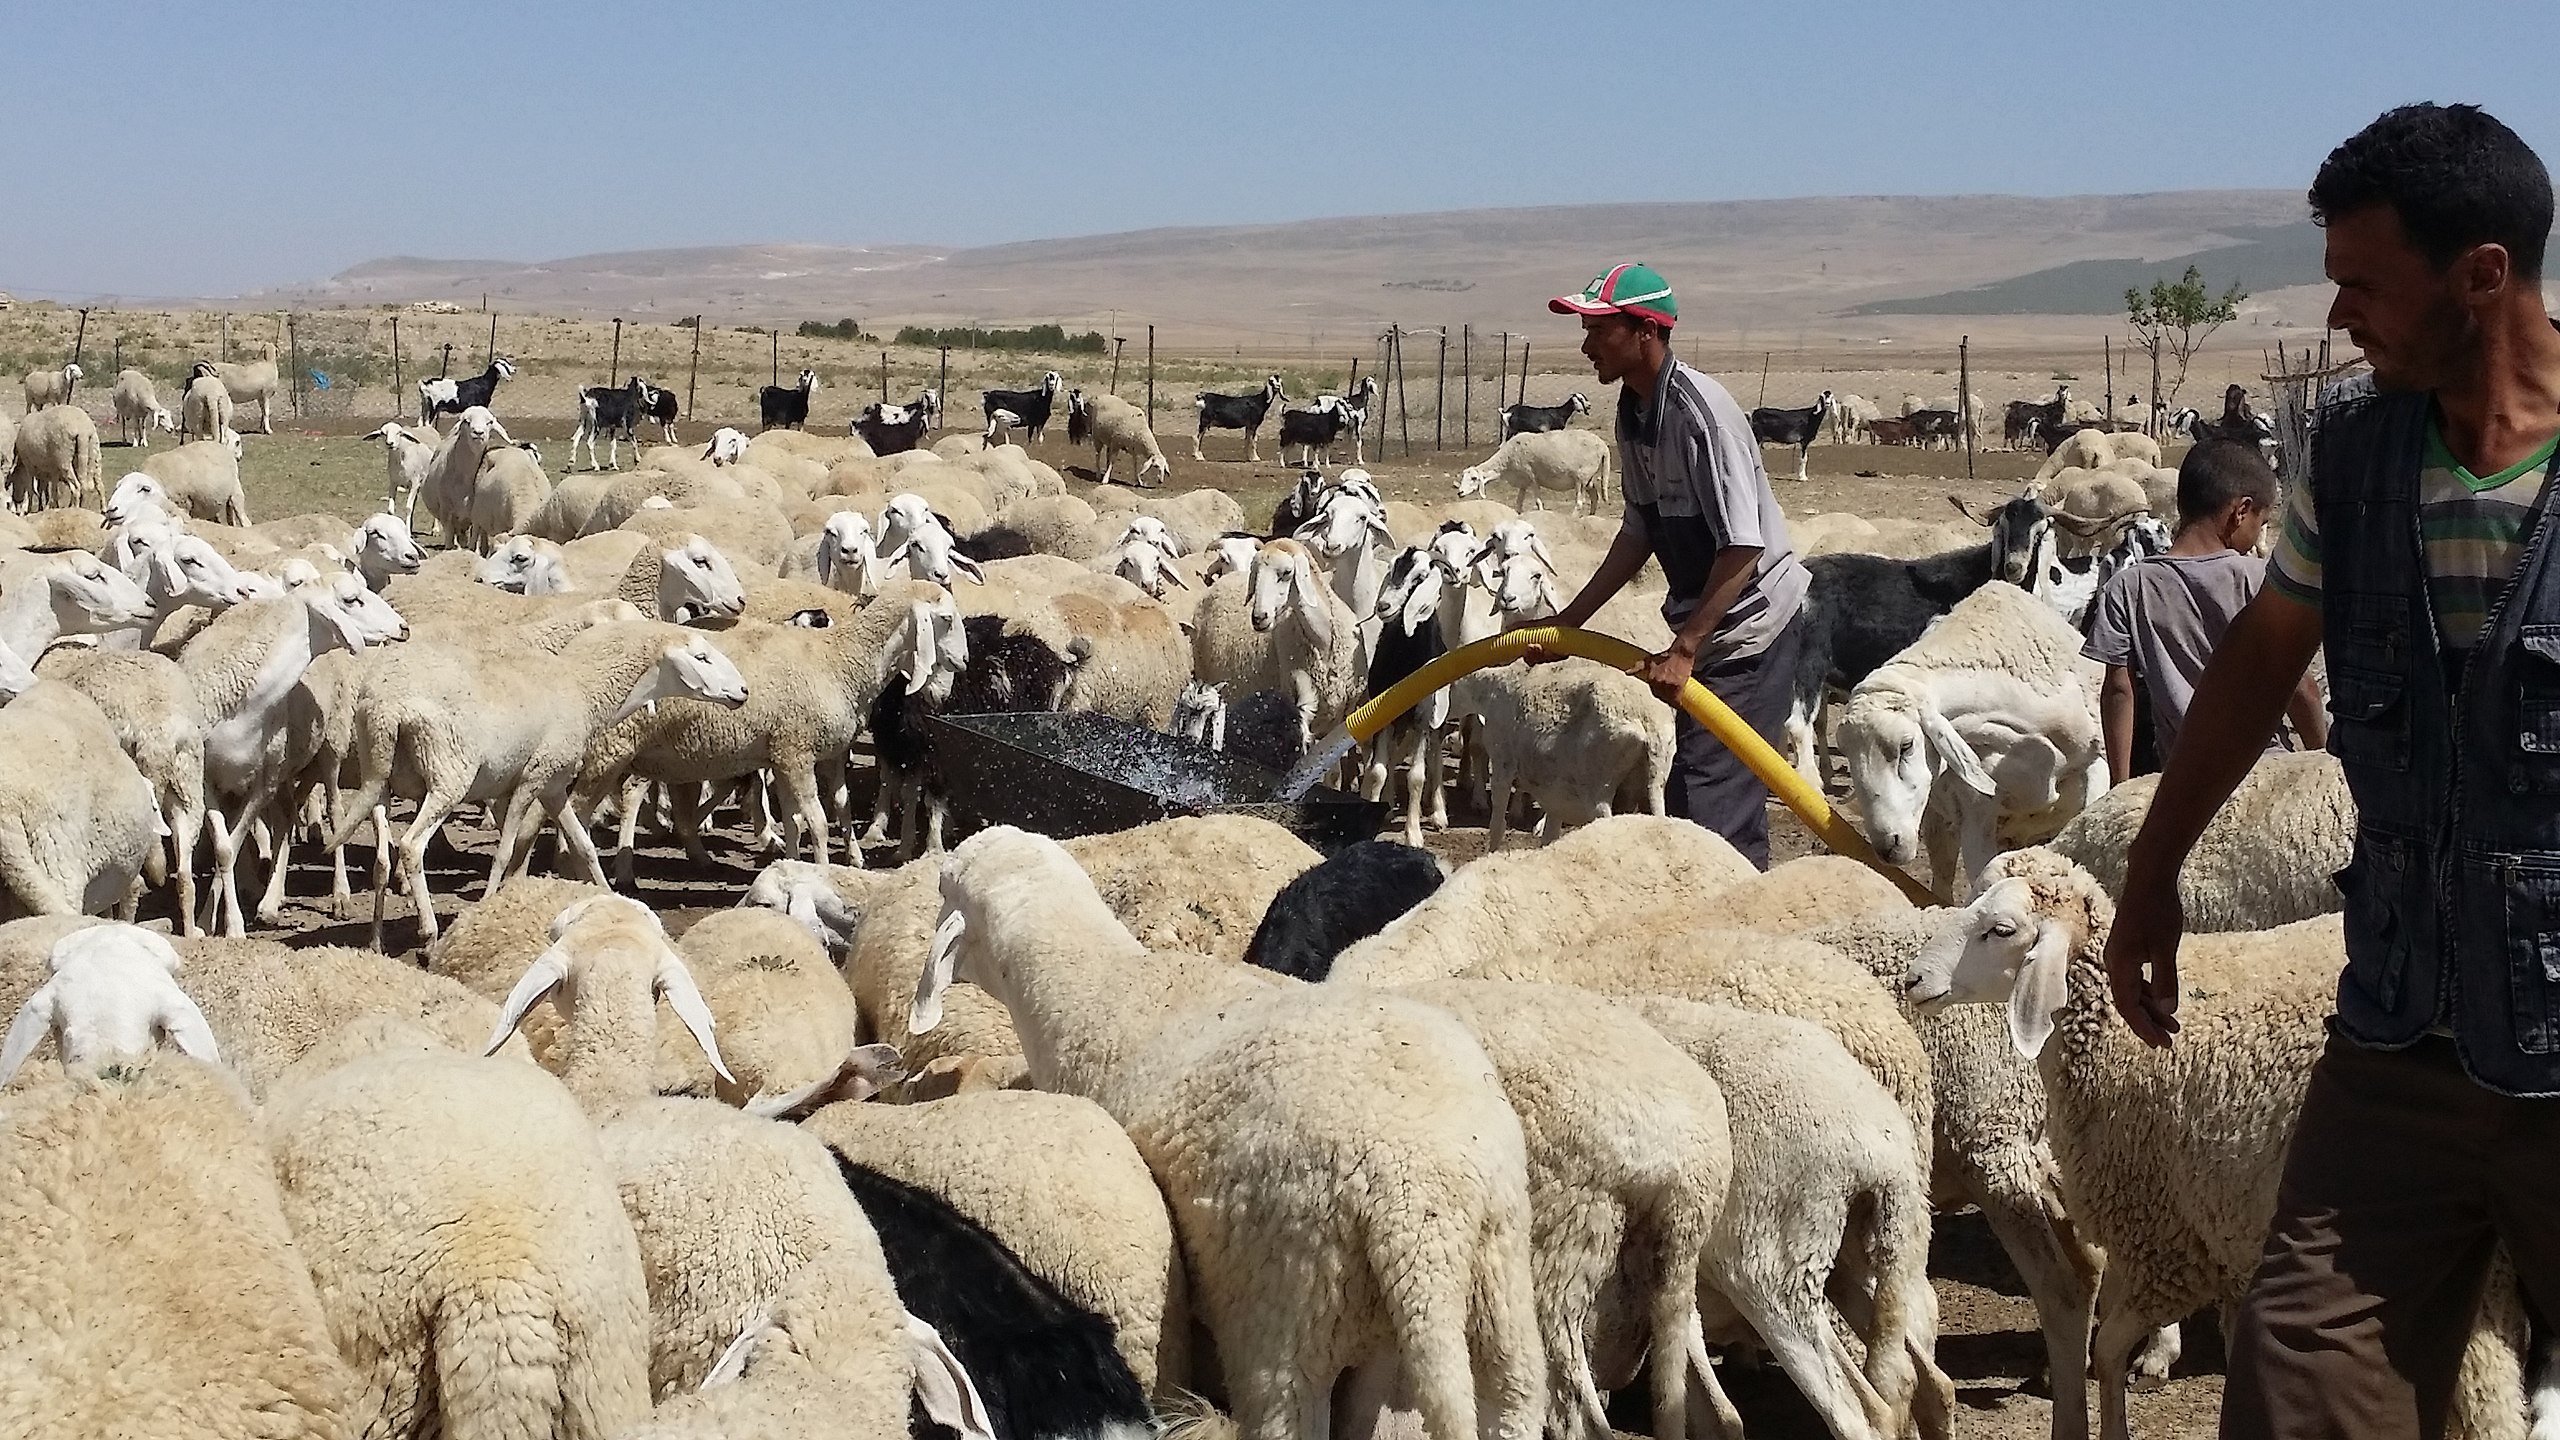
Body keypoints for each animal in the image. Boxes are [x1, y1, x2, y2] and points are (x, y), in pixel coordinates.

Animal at [917, 826, 1546, 1440]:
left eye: (945, 888)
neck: (1103, 988)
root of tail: (1419, 1207)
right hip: (1490, 1289)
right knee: (1507, 1402)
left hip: (1286, 1312)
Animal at [1457, 428, 1614, 515]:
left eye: (1474, 479)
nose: (1460, 493)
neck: (1507, 460)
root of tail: (1603, 446)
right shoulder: (1523, 482)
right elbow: (1518, 503)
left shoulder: (1532, 477)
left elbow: (1538, 503)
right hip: (1589, 479)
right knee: (1595, 496)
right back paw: (1591, 516)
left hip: (1580, 478)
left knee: (1579, 503)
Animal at [1837, 577, 2109, 900]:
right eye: (1849, 756)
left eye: (1906, 745)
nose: (1888, 846)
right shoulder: (1975, 814)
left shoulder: (2098, 764)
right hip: (1940, 823)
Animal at [1902, 848, 2532, 1440]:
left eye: (2001, 929)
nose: (1912, 980)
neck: (2121, 1043)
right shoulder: (2227, 1249)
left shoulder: (2167, 1246)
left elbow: (2108, 1352)